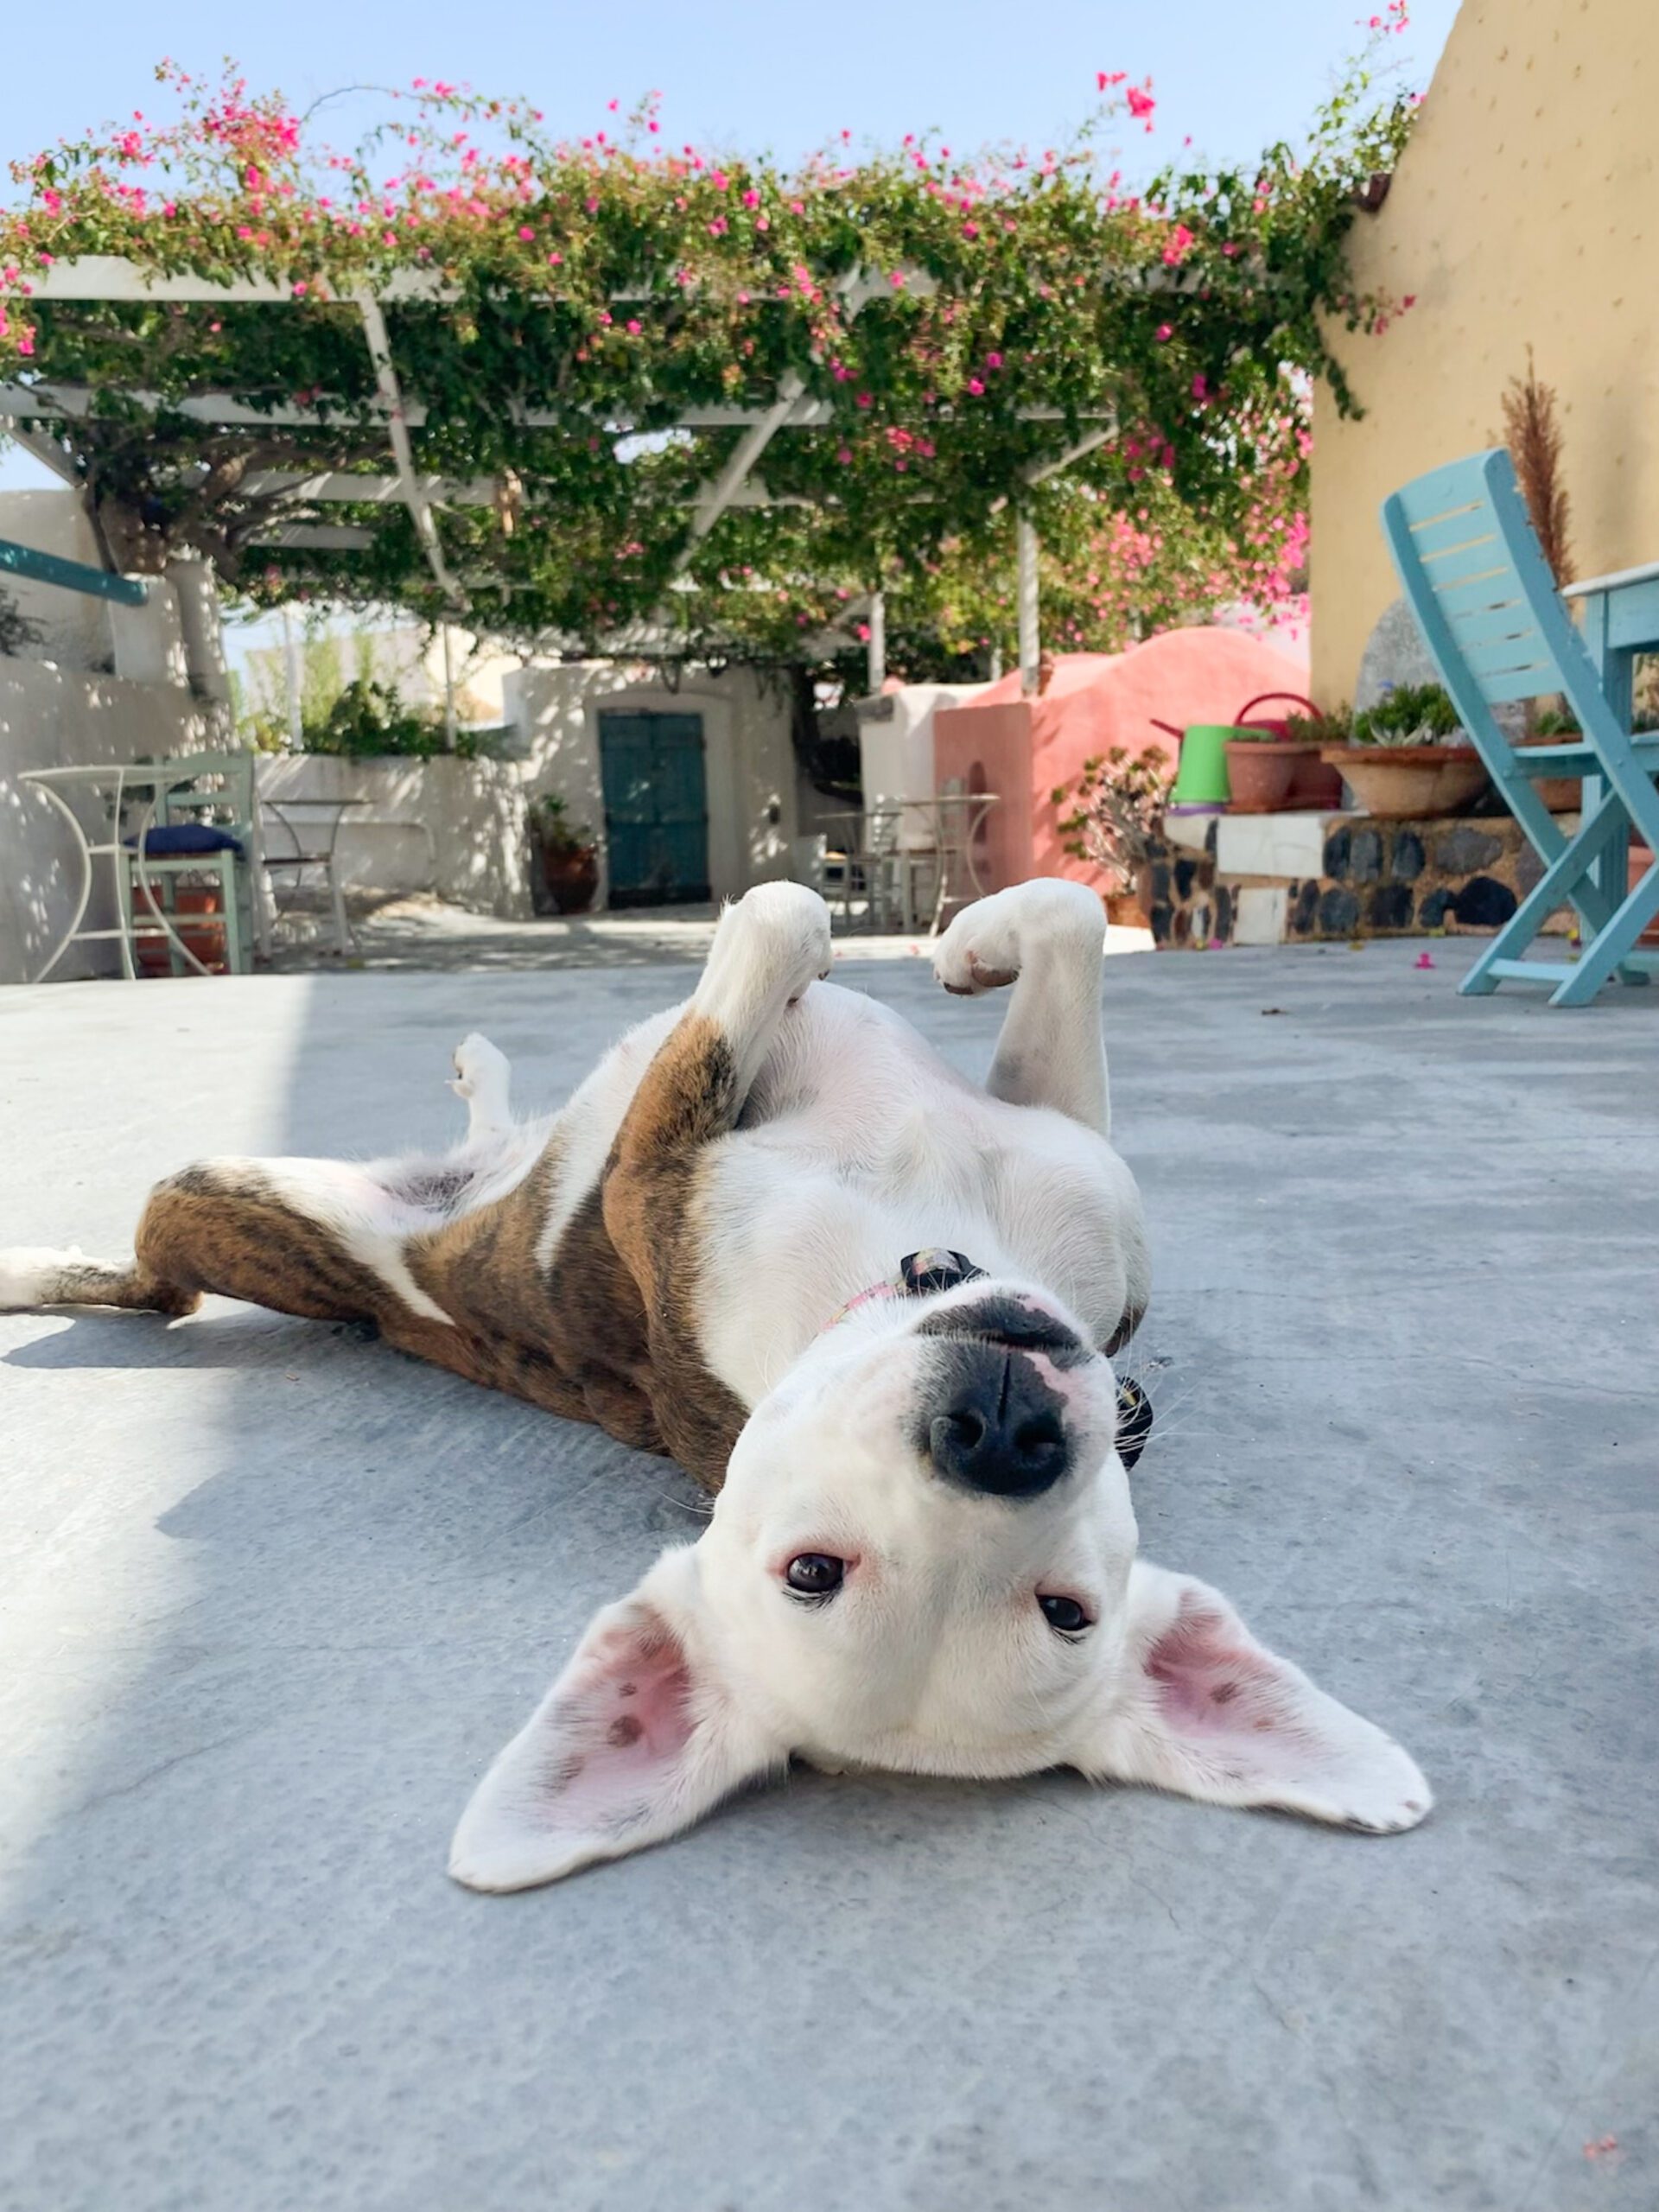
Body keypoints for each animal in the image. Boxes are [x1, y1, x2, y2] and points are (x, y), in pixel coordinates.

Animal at [0, 880, 1433, 1885]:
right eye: (814, 1569)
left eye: (1064, 1608)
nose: (1000, 1428)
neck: (907, 1246)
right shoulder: (1022, 1138)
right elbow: (1015, 917)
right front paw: (962, 947)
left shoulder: (684, 1151)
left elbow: (817, 922)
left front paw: (879, 942)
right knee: (451, 1156)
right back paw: (473, 1080)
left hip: (222, 1199)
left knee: (161, 1286)